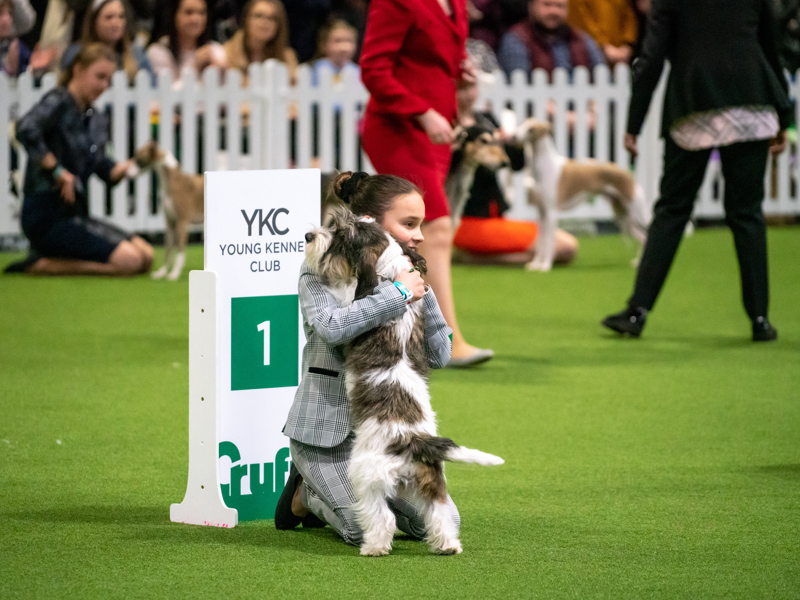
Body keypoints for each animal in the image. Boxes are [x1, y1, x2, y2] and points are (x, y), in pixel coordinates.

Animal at [131, 141, 203, 282]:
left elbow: (180, 251)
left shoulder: (181, 223)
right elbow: (168, 249)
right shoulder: (170, 223)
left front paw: (174, 273)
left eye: (139, 159)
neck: (172, 180)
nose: (127, 173)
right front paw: (162, 272)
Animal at [512, 118, 648, 272]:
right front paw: (536, 264)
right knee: (644, 238)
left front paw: (546, 266)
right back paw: (638, 263)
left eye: (531, 129)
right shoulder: (540, 212)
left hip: (638, 214)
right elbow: (541, 241)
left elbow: (549, 242)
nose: (513, 137)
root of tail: (630, 175)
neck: (546, 165)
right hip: (624, 218)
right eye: (522, 124)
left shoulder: (551, 213)